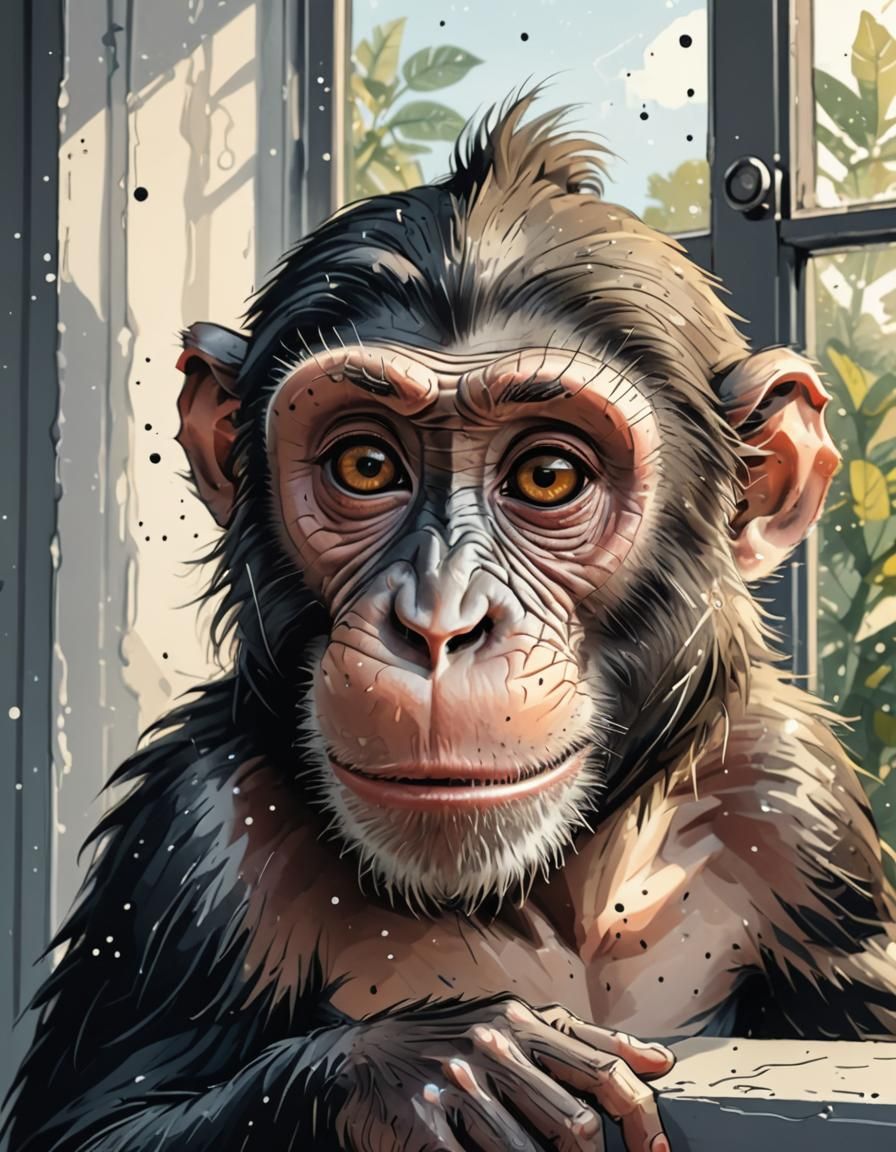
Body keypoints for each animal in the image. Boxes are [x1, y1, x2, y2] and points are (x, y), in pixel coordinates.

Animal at [5, 91, 896, 1152]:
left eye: (547, 475)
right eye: (366, 466)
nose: (438, 622)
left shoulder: (798, 814)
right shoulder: (198, 844)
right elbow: (92, 1123)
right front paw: (433, 1064)